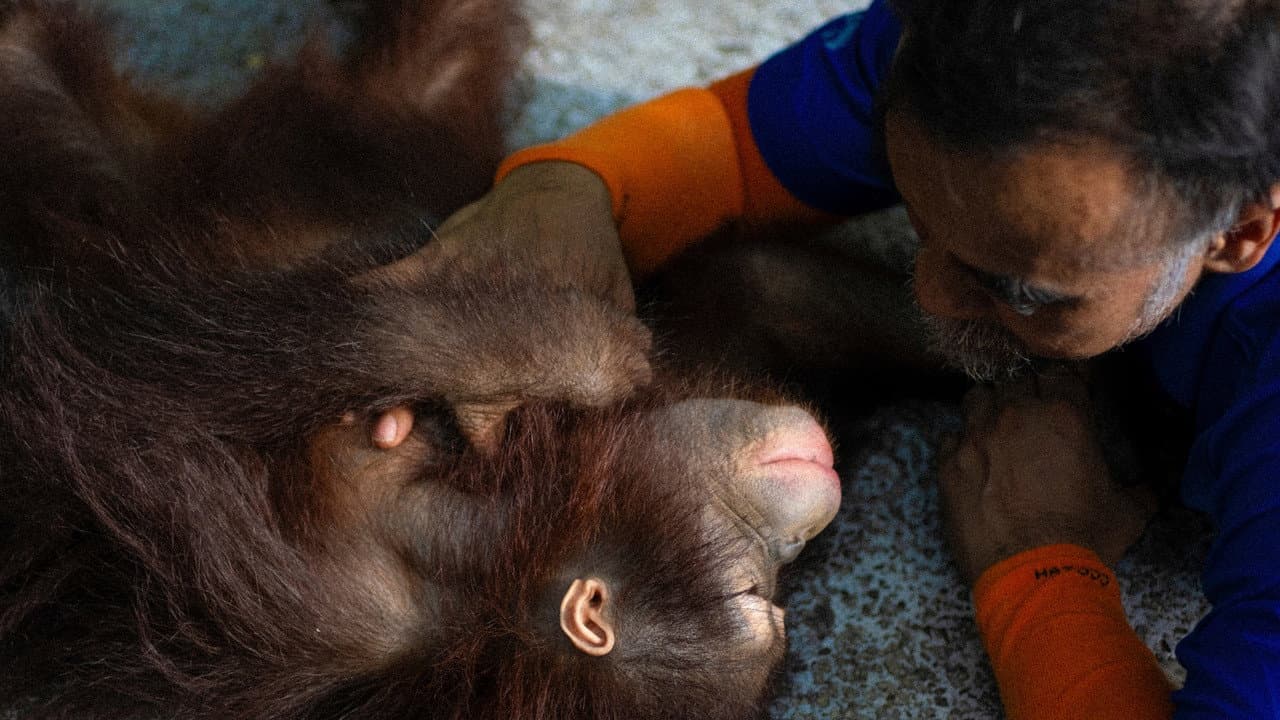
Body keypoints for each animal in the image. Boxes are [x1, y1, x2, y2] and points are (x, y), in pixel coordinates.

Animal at [0, 1, 842, 718]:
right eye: (752, 590)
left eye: (774, 591)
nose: (800, 539)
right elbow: (142, 385)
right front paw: (578, 347)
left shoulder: (324, 599)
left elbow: (130, 394)